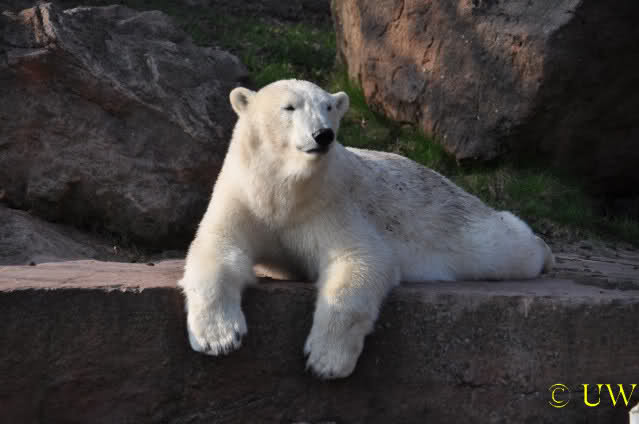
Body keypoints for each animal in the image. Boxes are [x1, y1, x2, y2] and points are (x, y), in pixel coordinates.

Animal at [178, 79, 553, 379]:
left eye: (329, 107)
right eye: (289, 107)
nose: (323, 134)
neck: (283, 191)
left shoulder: (330, 202)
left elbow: (360, 260)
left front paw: (325, 360)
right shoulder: (244, 195)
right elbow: (217, 248)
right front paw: (218, 337)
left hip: (458, 225)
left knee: (504, 247)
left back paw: (543, 251)